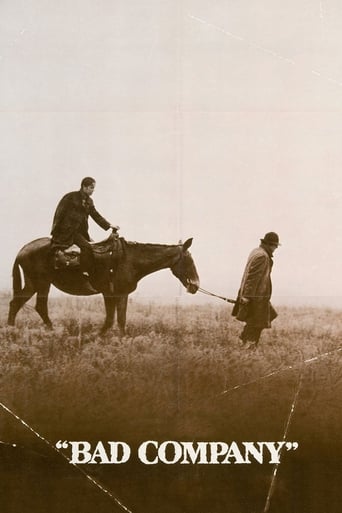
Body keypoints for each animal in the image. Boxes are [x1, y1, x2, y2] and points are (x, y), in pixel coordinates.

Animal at [7, 234, 200, 334]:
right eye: (189, 261)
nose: (195, 286)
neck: (129, 260)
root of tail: (23, 249)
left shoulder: (122, 294)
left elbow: (121, 320)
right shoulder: (109, 293)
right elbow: (110, 319)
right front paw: (99, 337)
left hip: (34, 284)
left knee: (19, 303)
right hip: (41, 283)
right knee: (36, 306)